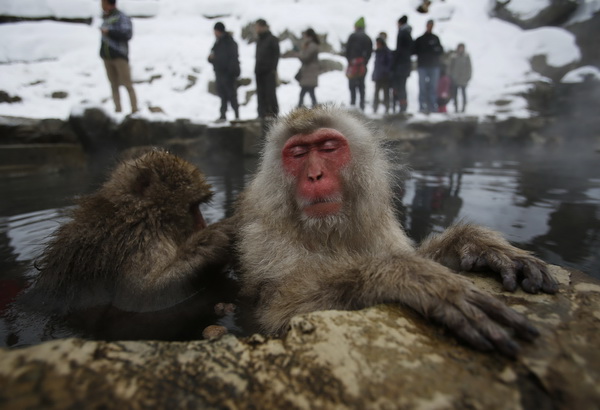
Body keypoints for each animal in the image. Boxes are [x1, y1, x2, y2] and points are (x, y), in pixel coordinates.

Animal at [233, 105, 556, 356]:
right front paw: (405, 276)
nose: (315, 175)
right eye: (298, 153)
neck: (328, 231)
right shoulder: (264, 236)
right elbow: (278, 310)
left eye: (328, 147)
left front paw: (478, 245)